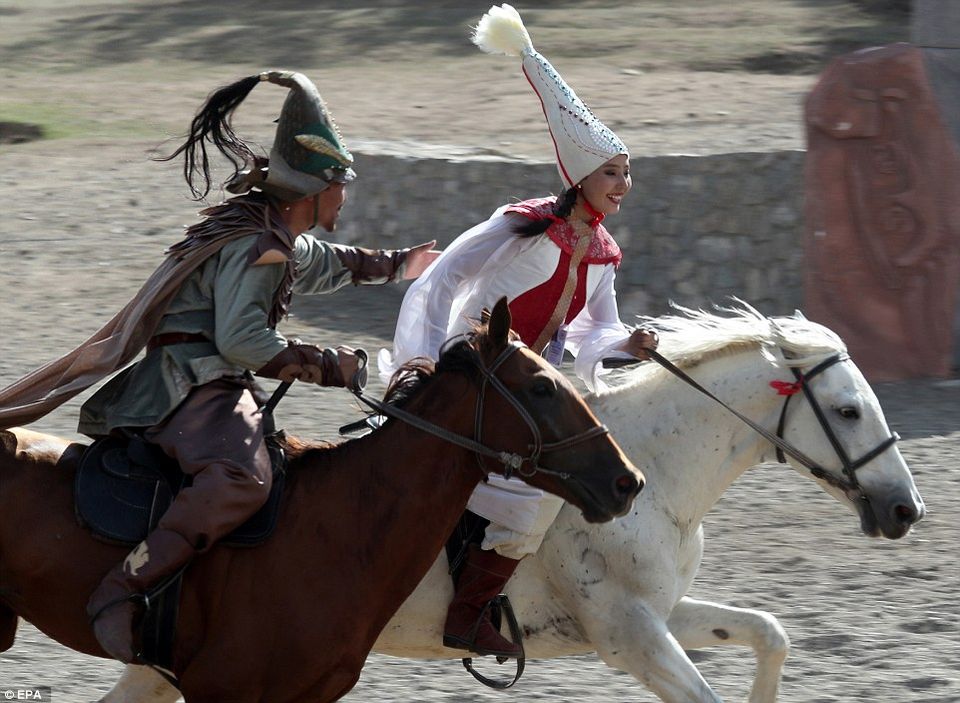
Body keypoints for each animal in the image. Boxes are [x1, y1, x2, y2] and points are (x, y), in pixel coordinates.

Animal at [99, 308, 924, 703]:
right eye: (849, 410)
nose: (906, 510)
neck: (654, 479)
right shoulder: (630, 636)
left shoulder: (657, 615)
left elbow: (770, 631)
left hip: (170, 666)